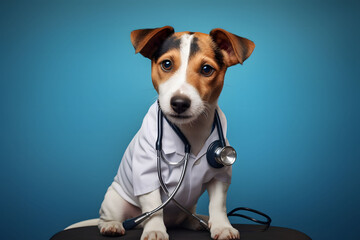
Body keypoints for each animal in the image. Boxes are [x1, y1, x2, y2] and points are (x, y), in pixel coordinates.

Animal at [67, 26, 253, 240]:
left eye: (207, 69)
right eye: (167, 64)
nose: (179, 103)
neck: (191, 130)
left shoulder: (220, 175)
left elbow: (218, 204)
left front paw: (222, 226)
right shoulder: (147, 173)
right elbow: (153, 205)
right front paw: (155, 229)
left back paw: (197, 221)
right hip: (115, 200)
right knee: (109, 217)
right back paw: (112, 225)